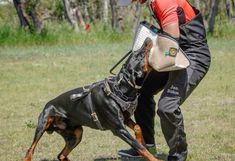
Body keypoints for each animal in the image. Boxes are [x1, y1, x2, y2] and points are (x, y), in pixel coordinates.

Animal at [23, 38, 161, 161]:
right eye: (139, 55)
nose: (147, 39)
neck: (119, 90)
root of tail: (47, 105)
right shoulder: (119, 129)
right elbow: (139, 148)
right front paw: (153, 158)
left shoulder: (125, 119)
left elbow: (138, 128)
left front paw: (141, 140)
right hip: (43, 124)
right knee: (30, 150)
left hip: (76, 133)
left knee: (61, 155)